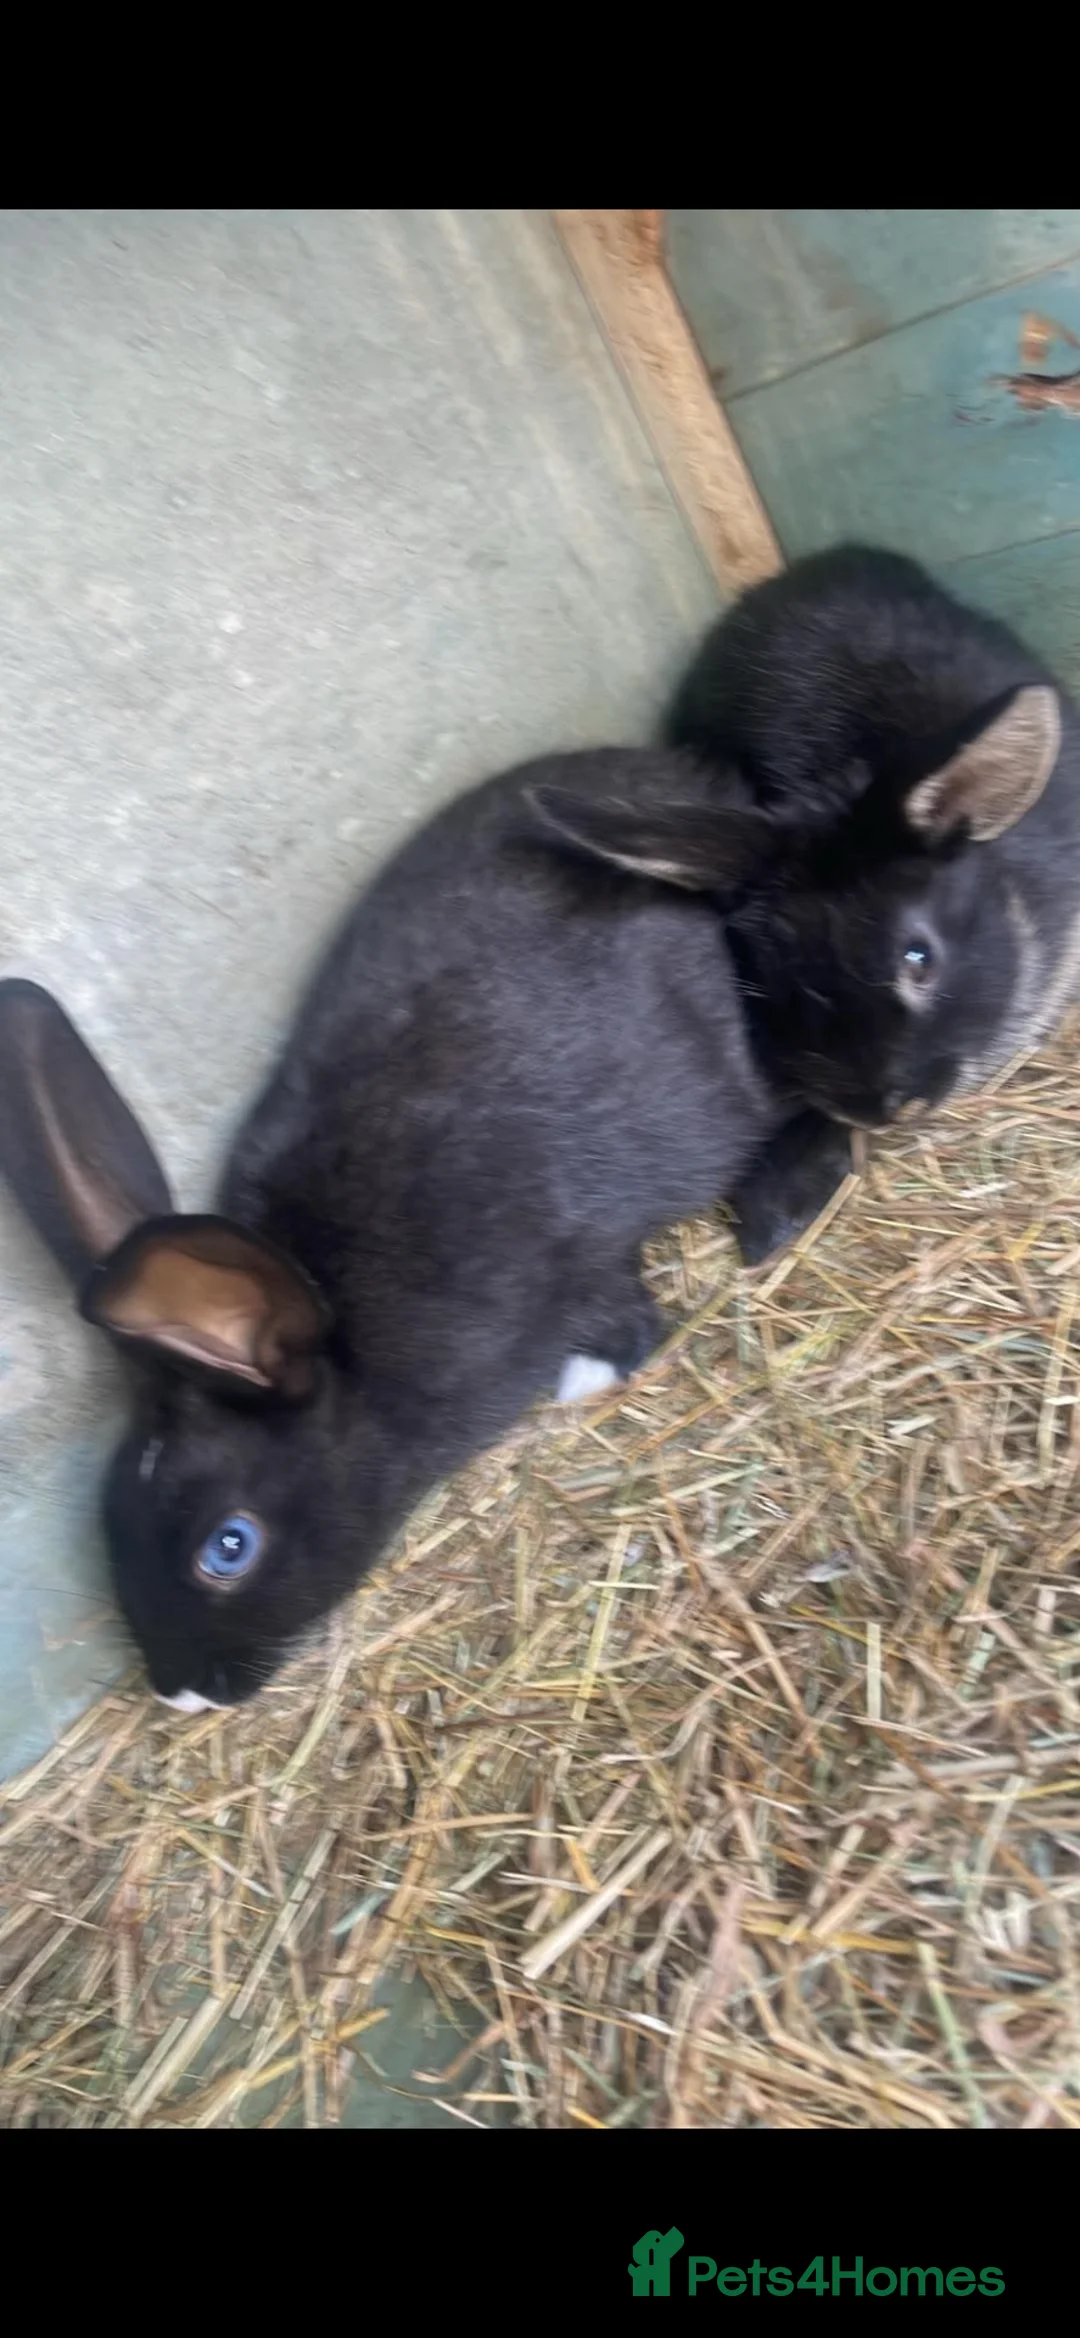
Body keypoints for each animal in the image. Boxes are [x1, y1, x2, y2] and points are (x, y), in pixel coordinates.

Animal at [0, 704, 1060, 1710]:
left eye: (228, 1547)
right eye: (106, 1529)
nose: (181, 1694)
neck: (344, 1334)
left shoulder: (571, 1266)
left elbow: (621, 1317)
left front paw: (586, 1377)